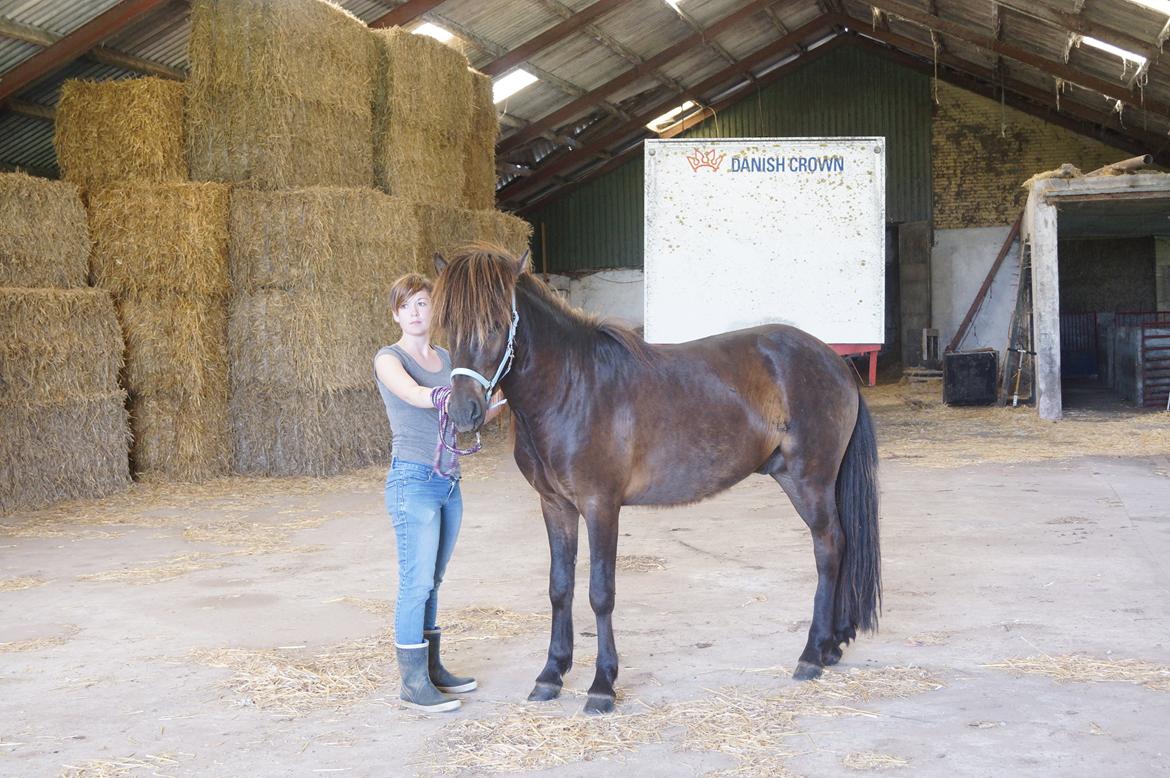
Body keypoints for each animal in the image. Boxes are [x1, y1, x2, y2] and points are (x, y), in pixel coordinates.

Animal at [435, 243, 879, 711]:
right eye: (448, 325)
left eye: (498, 323)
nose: (463, 412)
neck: (572, 389)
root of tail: (833, 362)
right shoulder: (555, 505)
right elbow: (560, 588)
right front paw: (550, 675)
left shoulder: (601, 506)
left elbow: (600, 592)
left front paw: (602, 685)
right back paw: (832, 645)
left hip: (809, 480)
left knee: (829, 548)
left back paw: (812, 654)